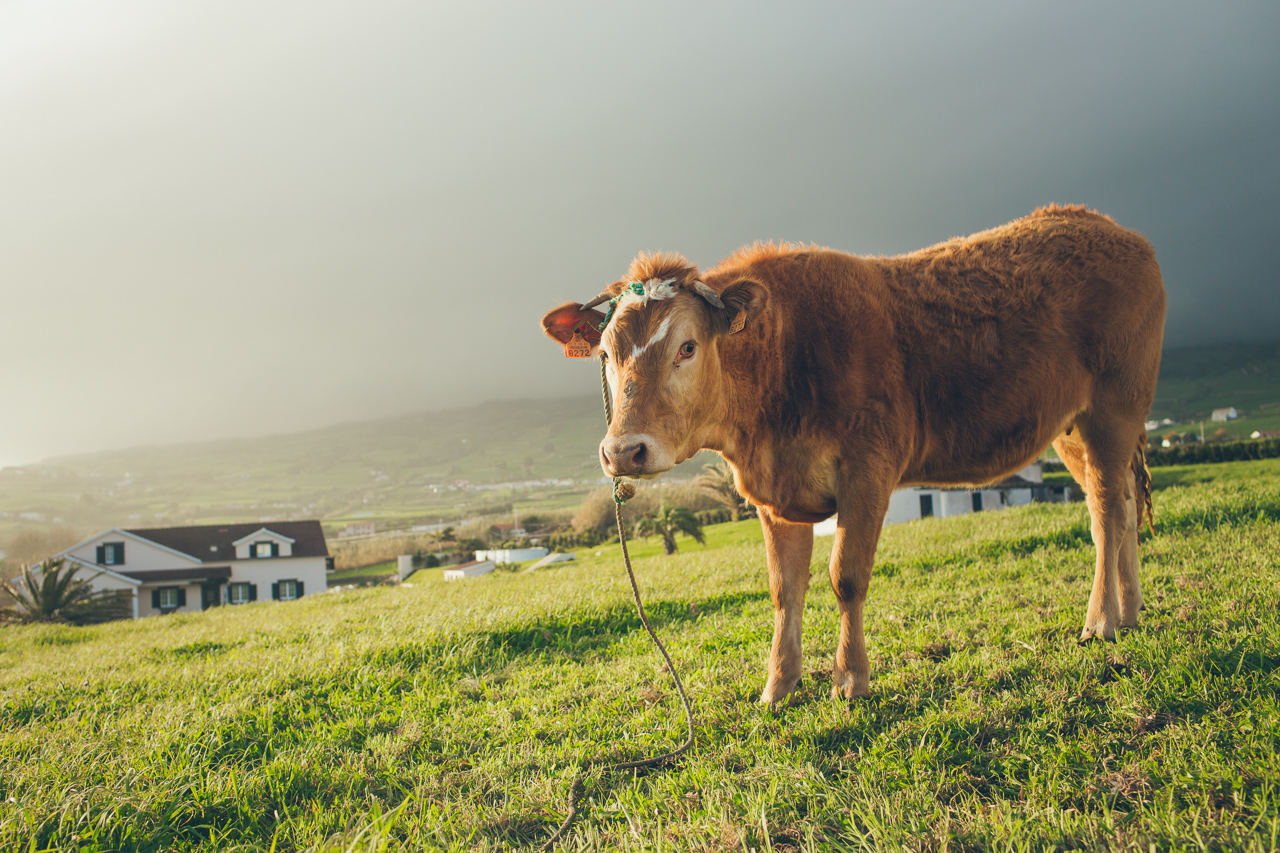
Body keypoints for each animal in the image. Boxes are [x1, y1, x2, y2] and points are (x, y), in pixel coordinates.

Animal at [541, 205, 1165, 706]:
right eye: (605, 354)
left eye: (687, 347)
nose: (624, 450)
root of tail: (1107, 226)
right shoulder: (773, 497)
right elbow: (783, 589)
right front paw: (778, 686)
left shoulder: (868, 469)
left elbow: (847, 576)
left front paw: (850, 679)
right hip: (1069, 427)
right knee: (1119, 504)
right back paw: (1131, 611)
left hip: (1114, 409)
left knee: (1108, 511)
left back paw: (1101, 620)